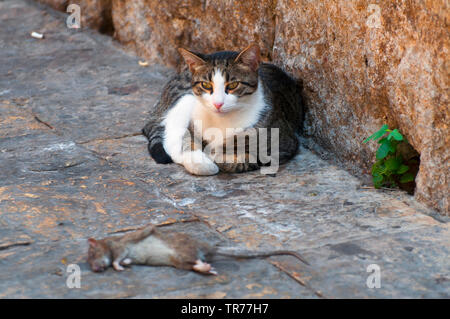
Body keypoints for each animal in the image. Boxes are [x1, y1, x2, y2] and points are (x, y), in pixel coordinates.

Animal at [142, 43, 304, 175]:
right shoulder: (192, 126)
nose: (218, 104)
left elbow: (246, 158)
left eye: (233, 85)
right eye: (206, 85)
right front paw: (204, 160)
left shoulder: (282, 146)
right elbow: (188, 143)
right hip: (184, 98)